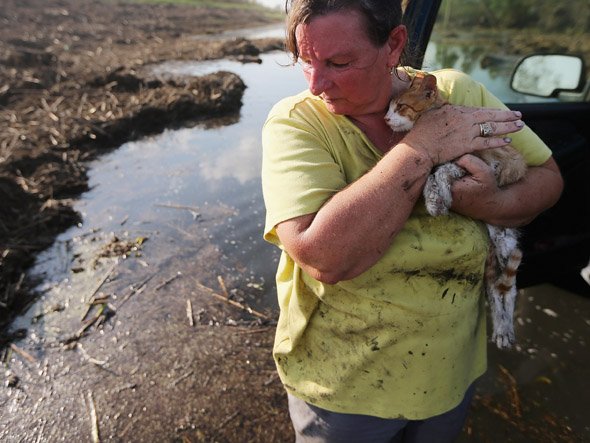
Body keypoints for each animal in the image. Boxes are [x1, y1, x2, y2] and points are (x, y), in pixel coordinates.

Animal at [386, 73, 528, 350]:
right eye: (388, 107)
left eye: (400, 107)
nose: (386, 118)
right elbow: (430, 176)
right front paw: (434, 200)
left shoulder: (478, 161)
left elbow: (443, 170)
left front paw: (441, 191)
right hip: (494, 251)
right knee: (495, 287)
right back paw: (501, 329)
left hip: (504, 242)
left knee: (509, 288)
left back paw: (506, 328)